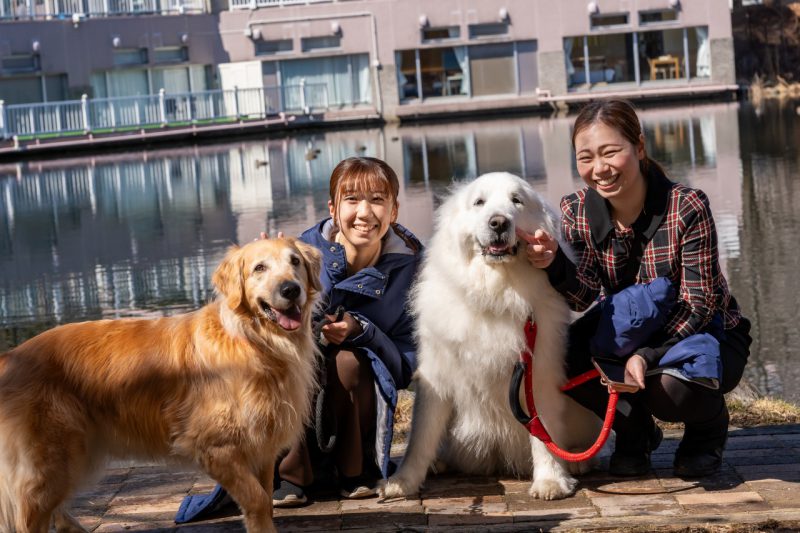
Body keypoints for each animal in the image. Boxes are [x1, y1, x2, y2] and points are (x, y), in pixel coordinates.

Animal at [0, 238, 322, 532]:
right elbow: (257, 500)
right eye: (259, 268)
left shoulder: (262, 448)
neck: (254, 341)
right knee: (30, 519)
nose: (291, 289)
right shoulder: (217, 448)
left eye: (295, 261)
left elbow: (266, 500)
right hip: (52, 462)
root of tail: (11, 356)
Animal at [382, 172, 600, 500]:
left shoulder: (537, 374)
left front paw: (550, 481)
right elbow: (420, 438)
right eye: (479, 202)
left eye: (516, 201)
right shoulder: (436, 376)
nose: (499, 222)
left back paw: (576, 461)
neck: (494, 291)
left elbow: (544, 431)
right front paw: (402, 482)